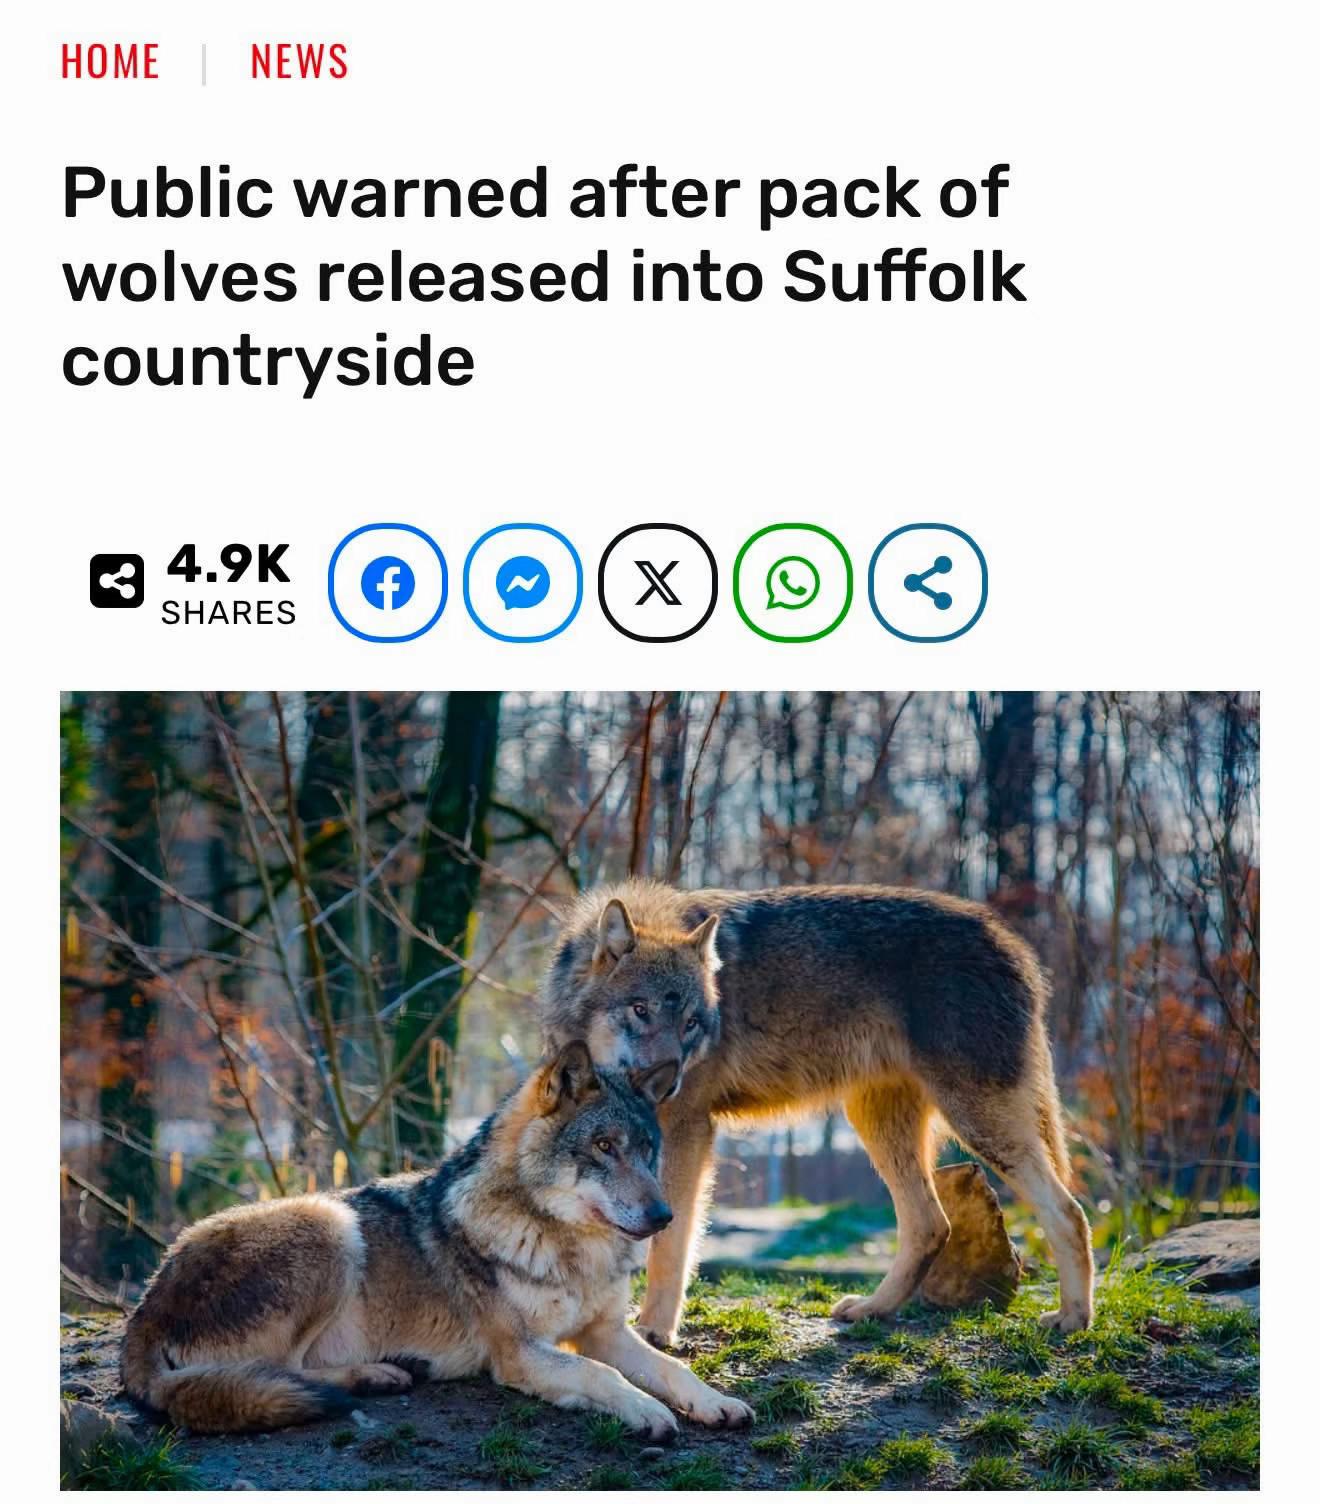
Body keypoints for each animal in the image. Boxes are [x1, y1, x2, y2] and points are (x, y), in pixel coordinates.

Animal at [121, 1041, 753, 1436]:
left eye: (646, 1150)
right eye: (603, 1147)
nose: (664, 1215)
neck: (568, 1247)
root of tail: (144, 1307)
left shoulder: (604, 1331)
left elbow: (671, 1369)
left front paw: (715, 1402)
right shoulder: (519, 1353)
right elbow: (603, 1375)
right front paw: (647, 1413)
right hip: (330, 1223)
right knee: (280, 1371)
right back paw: (376, 1375)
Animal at [541, 881, 1094, 1347]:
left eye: (692, 1024)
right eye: (641, 1010)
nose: (668, 1080)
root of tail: (1013, 943)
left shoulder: (686, 1130)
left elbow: (670, 1242)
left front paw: (655, 1331)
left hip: (978, 1124)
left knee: (1068, 1212)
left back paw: (1073, 1318)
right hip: (879, 1124)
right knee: (931, 1224)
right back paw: (873, 1309)